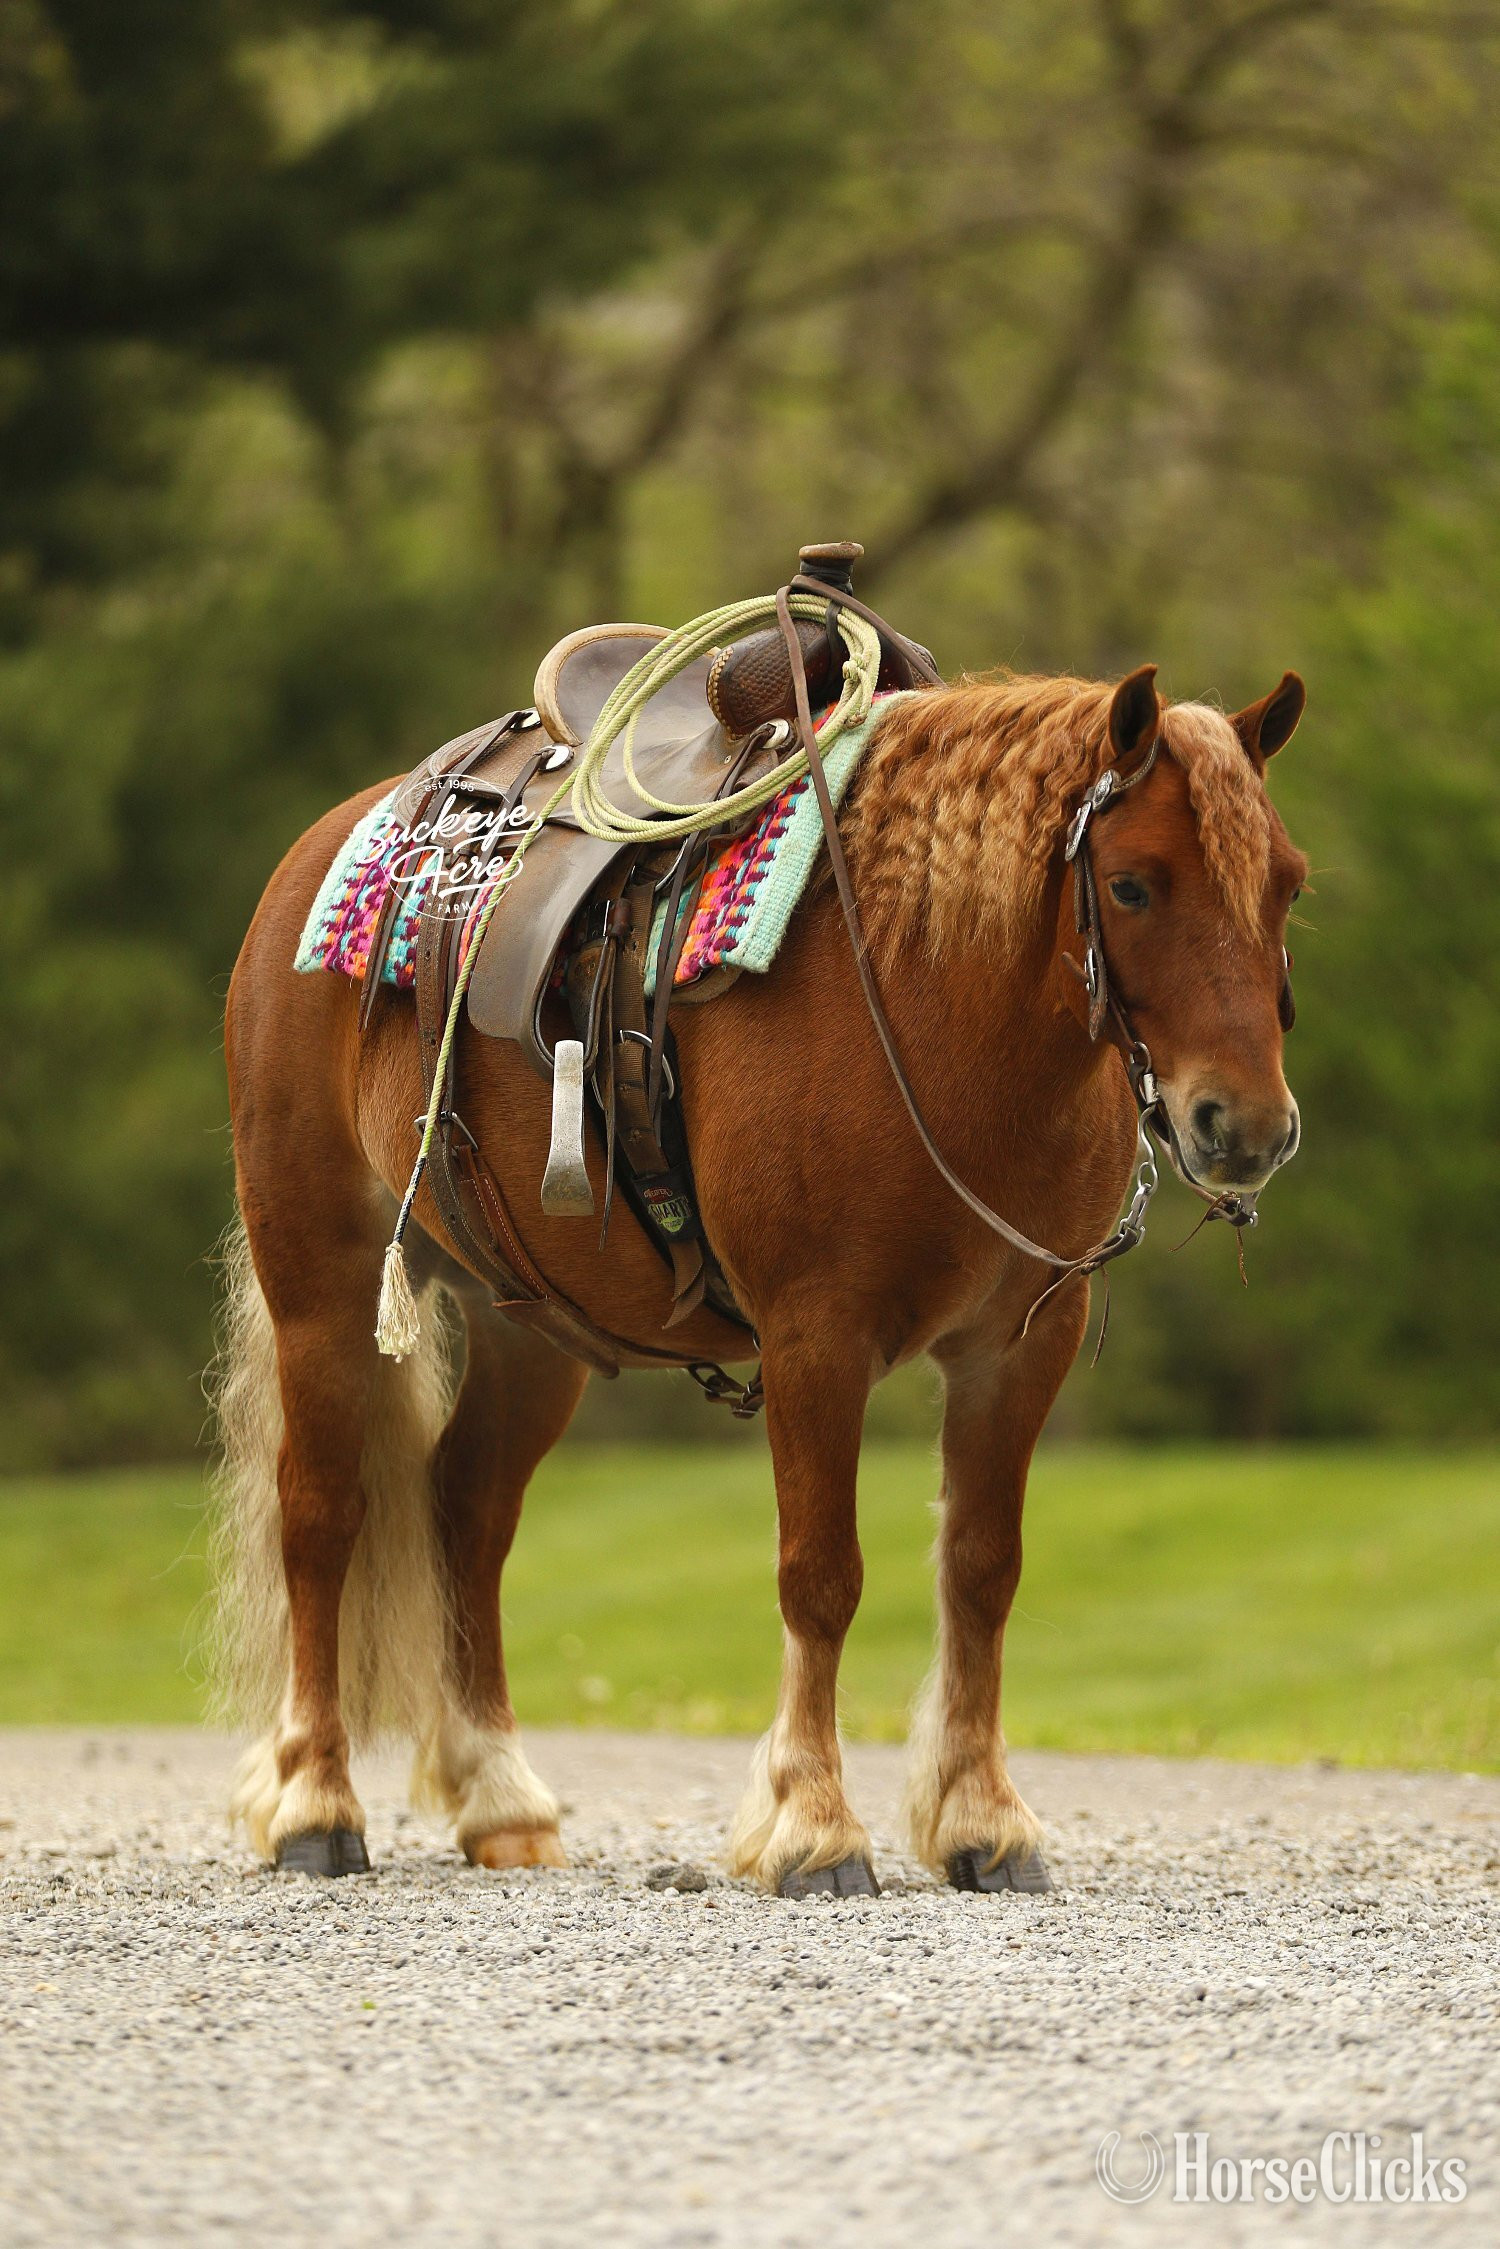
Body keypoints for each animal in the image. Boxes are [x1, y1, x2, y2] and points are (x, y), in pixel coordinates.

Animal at [211, 656, 1307, 1893]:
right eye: (1130, 885)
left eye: (1286, 887)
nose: (1247, 1126)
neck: (928, 1005)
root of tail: (332, 840)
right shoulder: (814, 1335)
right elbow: (819, 1574)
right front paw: (814, 1824)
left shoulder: (1020, 1343)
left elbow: (982, 1569)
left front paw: (982, 1818)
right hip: (321, 1278)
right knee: (320, 1512)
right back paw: (313, 1801)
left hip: (530, 1327)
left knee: (467, 1512)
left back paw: (499, 1795)